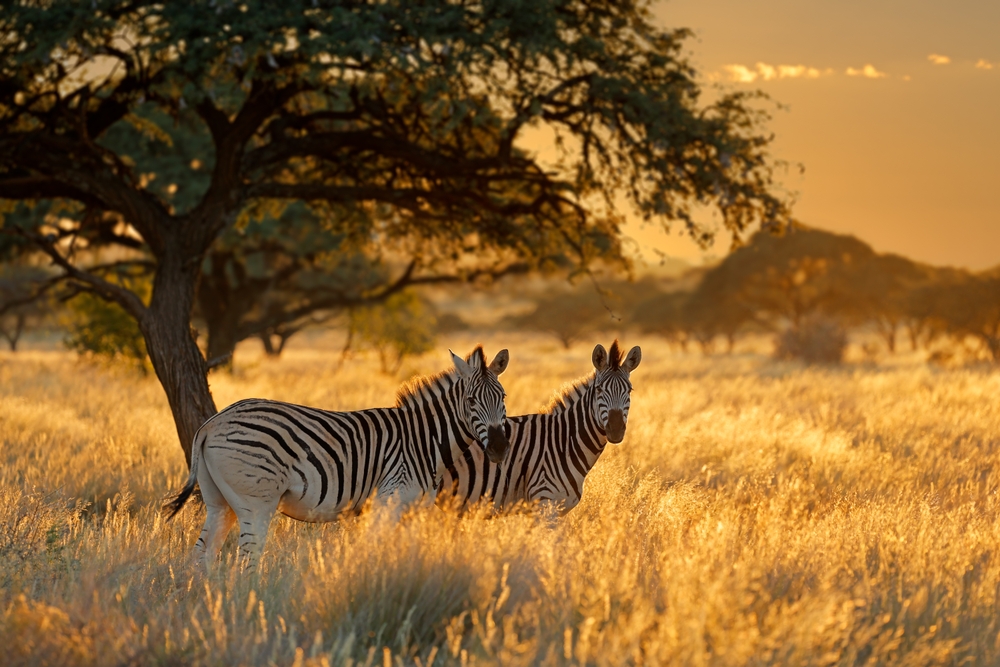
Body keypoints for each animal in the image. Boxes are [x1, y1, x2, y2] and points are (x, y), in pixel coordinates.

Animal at [165, 348, 512, 572]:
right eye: (471, 400)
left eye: (504, 397)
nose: (498, 447)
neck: (422, 440)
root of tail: (211, 424)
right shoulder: (388, 500)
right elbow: (375, 551)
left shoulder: (414, 510)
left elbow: (405, 553)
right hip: (256, 502)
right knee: (247, 558)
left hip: (219, 501)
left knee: (201, 555)